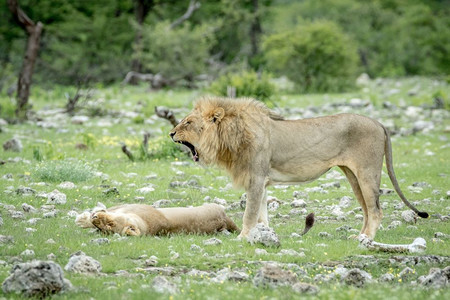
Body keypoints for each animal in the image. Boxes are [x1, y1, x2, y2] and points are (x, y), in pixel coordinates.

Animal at [170, 97, 428, 240]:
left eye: (188, 122)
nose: (171, 133)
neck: (231, 136)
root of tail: (378, 122)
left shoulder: (256, 177)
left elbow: (249, 213)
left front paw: (243, 237)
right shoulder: (262, 181)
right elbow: (262, 213)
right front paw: (263, 235)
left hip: (367, 171)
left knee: (375, 210)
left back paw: (365, 239)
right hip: (353, 175)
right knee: (366, 209)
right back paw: (360, 235)